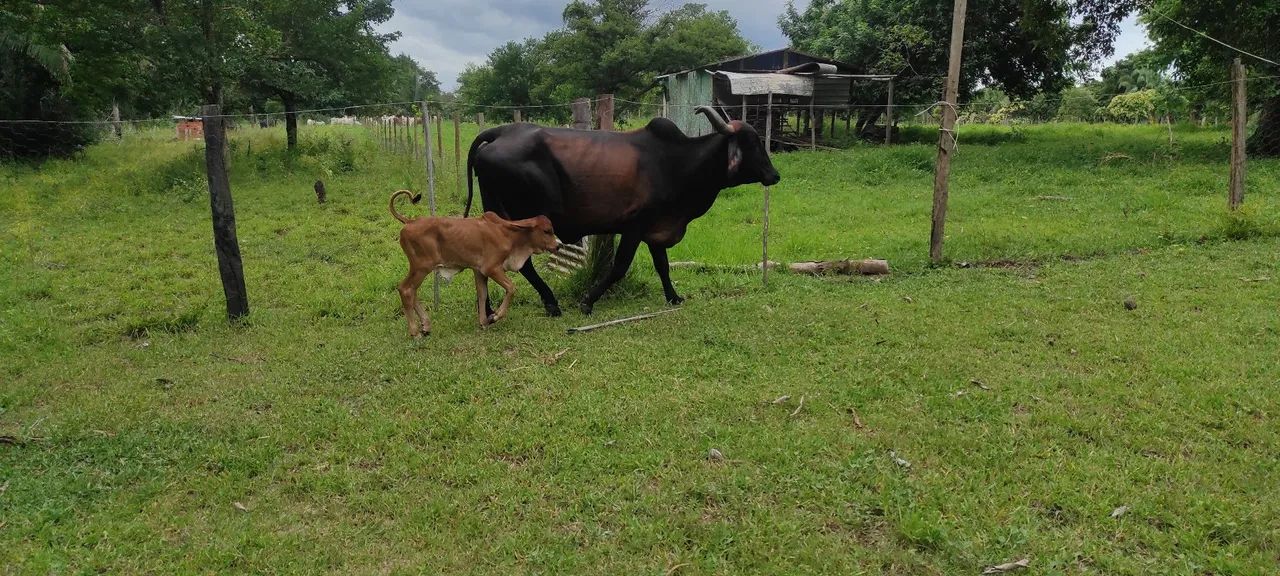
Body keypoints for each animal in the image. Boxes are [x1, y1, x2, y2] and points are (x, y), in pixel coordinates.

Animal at [464, 106, 780, 316]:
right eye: (752, 143)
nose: (774, 175)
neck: (677, 162)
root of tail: (501, 131)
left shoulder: (656, 228)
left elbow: (663, 266)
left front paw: (673, 297)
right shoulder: (634, 226)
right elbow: (619, 267)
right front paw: (588, 301)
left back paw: (489, 309)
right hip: (520, 219)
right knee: (522, 263)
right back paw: (550, 303)